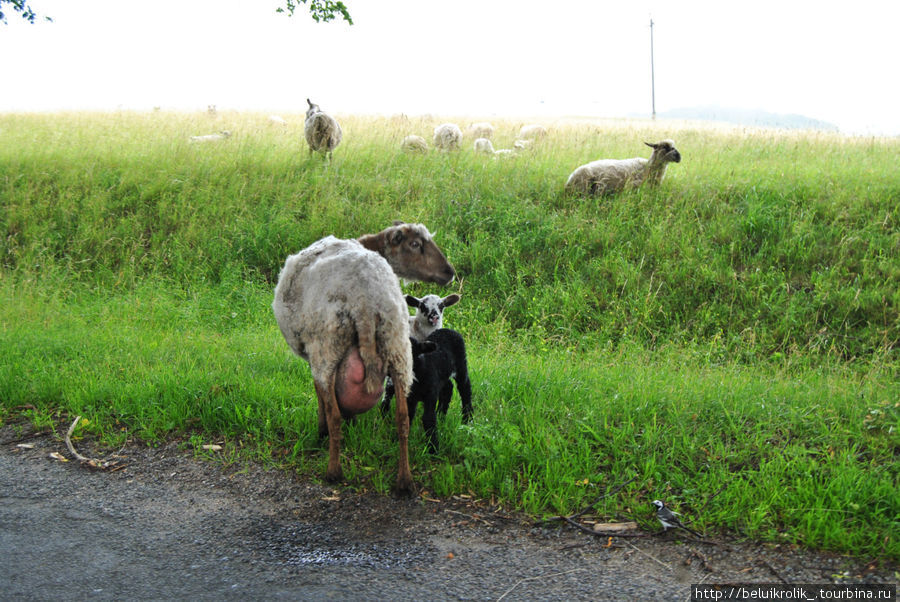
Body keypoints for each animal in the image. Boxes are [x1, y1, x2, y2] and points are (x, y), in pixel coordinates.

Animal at [268, 220, 454, 492]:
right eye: (415, 244)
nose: (450, 272)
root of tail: (367, 295)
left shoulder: (313, 354)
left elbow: (320, 395)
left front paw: (321, 433)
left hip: (328, 344)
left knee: (334, 414)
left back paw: (333, 471)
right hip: (397, 346)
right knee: (403, 419)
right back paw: (404, 481)